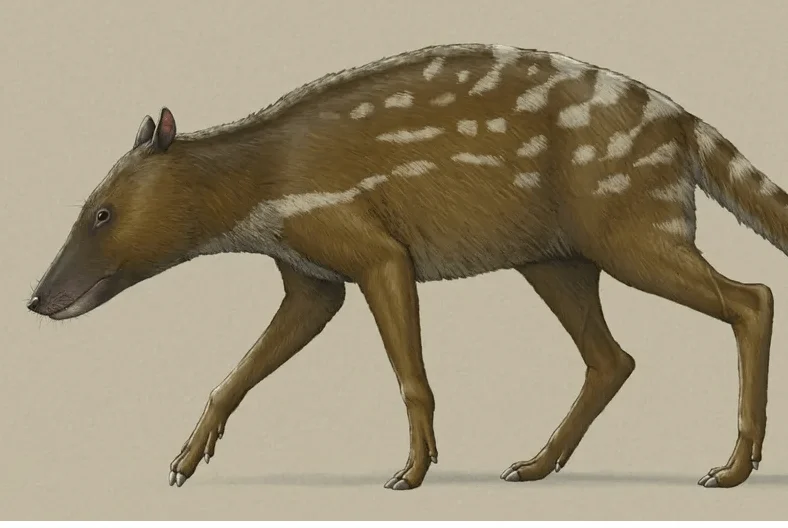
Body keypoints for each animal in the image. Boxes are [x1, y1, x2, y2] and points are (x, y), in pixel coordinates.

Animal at [28, 43, 784, 491]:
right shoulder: (310, 276)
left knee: (753, 297)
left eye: (101, 212)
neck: (258, 184)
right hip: (556, 257)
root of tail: (683, 123)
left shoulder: (372, 247)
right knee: (611, 357)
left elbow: (410, 376)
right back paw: (534, 464)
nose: (37, 299)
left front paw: (412, 472)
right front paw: (184, 463)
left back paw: (732, 468)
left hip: (628, 227)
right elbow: (238, 372)